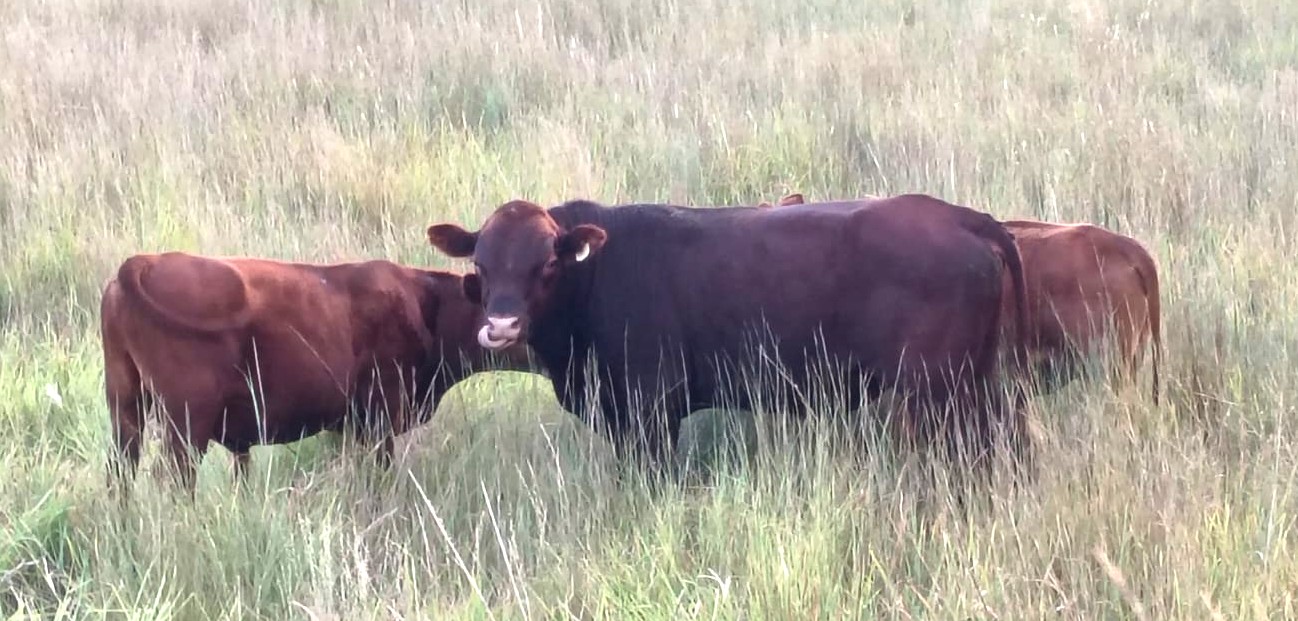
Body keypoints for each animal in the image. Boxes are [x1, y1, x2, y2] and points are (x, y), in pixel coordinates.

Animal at [100, 252, 532, 493]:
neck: (428, 303)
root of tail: (142, 263)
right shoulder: (379, 421)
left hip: (126, 411)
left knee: (121, 474)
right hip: (186, 425)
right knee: (172, 479)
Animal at [425, 195, 1034, 478]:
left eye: (547, 264)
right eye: (480, 265)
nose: (501, 327)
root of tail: (955, 214)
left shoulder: (652, 410)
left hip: (940, 392)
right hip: (977, 384)